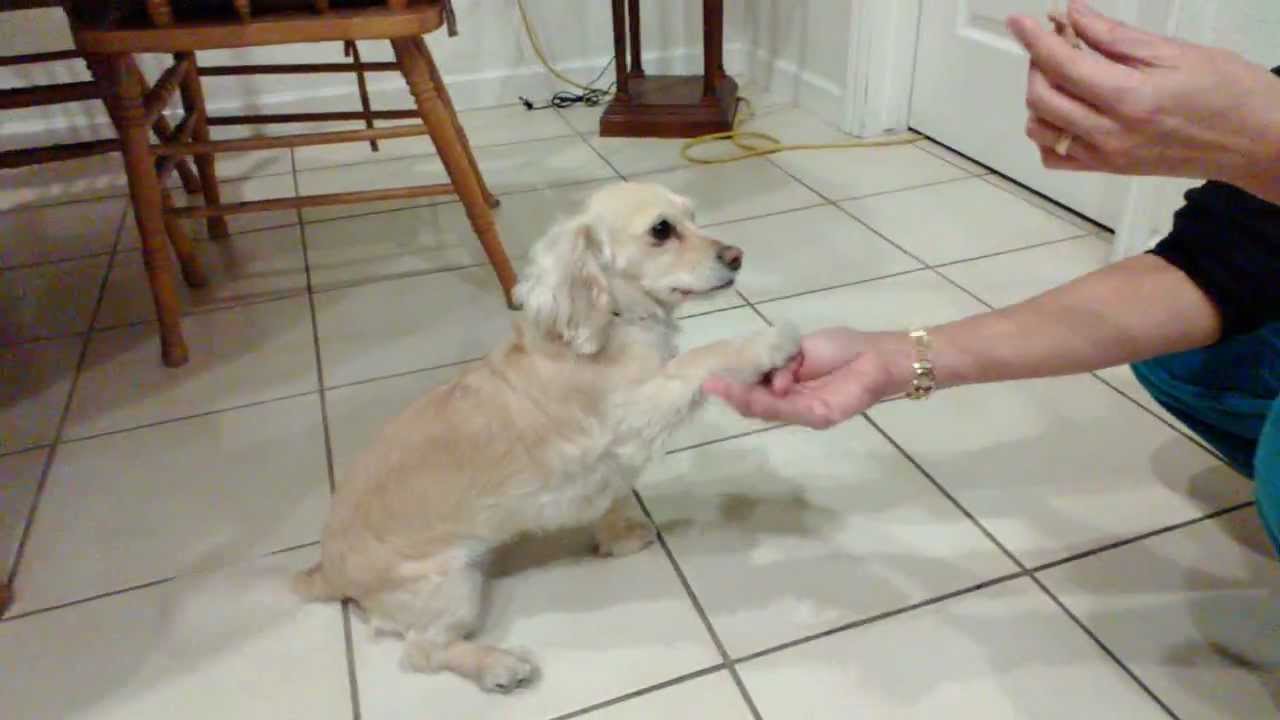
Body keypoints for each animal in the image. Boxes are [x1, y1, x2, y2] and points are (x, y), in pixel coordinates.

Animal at [293, 179, 793, 691]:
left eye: (692, 216)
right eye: (661, 230)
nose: (736, 255)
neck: (616, 321)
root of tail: (328, 571)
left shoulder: (611, 461)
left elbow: (612, 498)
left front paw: (618, 538)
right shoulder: (637, 408)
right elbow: (702, 358)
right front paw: (767, 343)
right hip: (451, 584)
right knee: (422, 652)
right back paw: (498, 665)